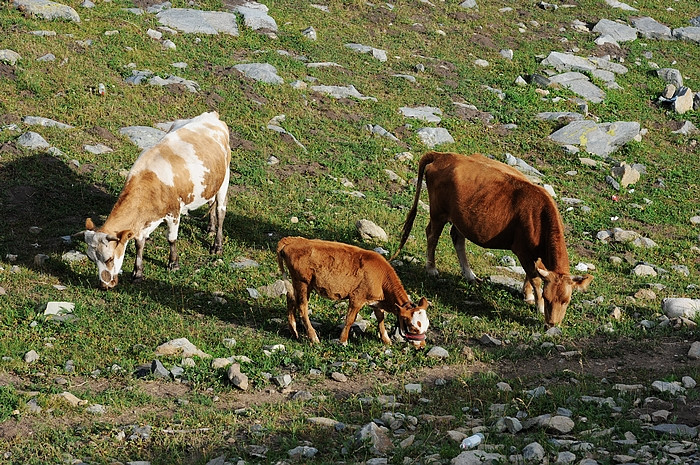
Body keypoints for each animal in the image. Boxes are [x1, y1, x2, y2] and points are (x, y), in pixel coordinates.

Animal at [81, 110, 230, 288]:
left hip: (225, 179)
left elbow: (171, 239)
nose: (105, 285)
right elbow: (139, 244)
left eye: (109, 258)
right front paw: (137, 273)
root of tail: (211, 115)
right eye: (92, 259)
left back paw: (217, 245)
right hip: (211, 183)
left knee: (220, 211)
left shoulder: (174, 213)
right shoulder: (142, 223)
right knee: (211, 203)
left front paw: (173, 264)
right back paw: (211, 227)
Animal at [276, 237, 430, 346]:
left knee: (290, 299)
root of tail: (293, 240)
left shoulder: (376, 301)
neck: (381, 278)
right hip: (303, 282)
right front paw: (343, 341)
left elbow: (380, 318)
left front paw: (386, 340)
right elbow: (350, 319)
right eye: (413, 327)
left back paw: (294, 332)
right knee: (302, 307)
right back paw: (313, 337)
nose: (422, 345)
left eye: (427, 325)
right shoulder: (357, 297)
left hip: (297, 282)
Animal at [392, 152, 592, 326]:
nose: (552, 323)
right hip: (438, 212)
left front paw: (527, 295)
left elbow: (531, 275)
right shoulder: (522, 250)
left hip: (461, 218)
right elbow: (534, 278)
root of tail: (443, 155)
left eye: (566, 301)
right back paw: (432, 269)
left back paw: (470, 275)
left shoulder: (535, 254)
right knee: (432, 235)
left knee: (457, 238)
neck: (539, 215)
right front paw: (538, 306)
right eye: (547, 297)